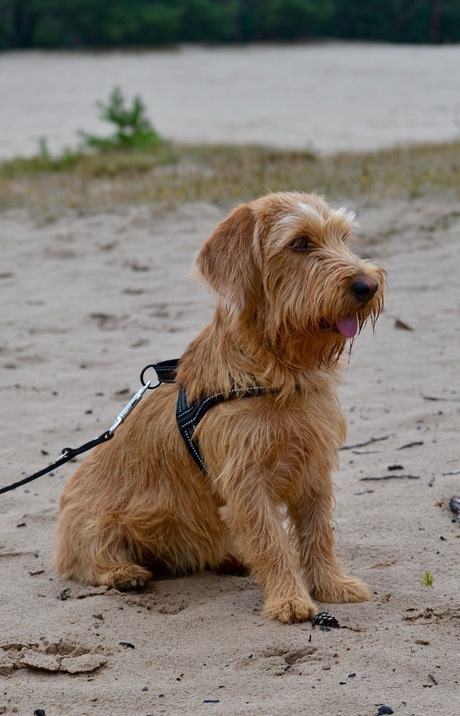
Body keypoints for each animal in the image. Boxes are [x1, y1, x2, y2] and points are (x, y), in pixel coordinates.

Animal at [54, 193, 384, 624]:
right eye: (300, 243)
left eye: (344, 238)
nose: (368, 285)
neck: (277, 371)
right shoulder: (246, 480)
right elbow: (272, 541)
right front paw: (289, 600)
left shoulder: (313, 467)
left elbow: (317, 533)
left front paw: (332, 585)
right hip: (93, 523)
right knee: (88, 559)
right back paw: (123, 573)